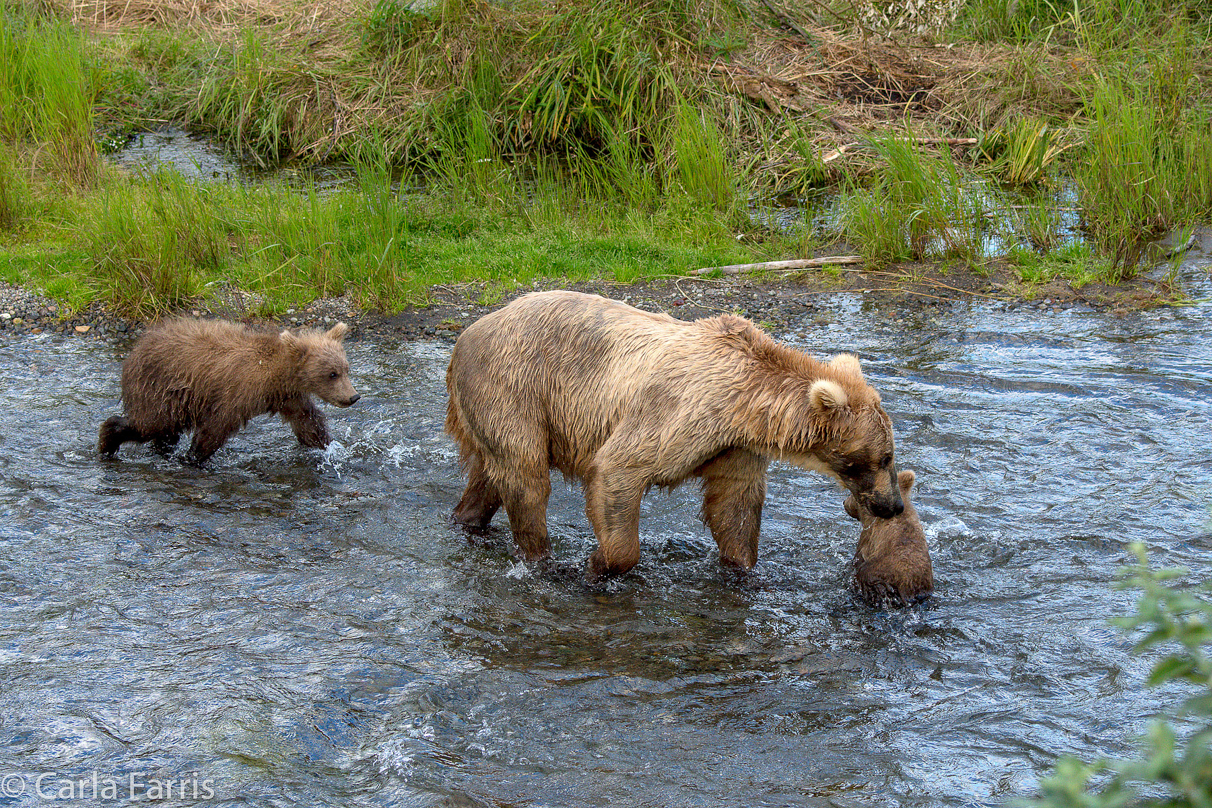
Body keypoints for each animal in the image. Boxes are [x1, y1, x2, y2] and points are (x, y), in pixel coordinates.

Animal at [446, 294, 901, 579]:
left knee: (491, 476)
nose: (892, 506)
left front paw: (741, 567)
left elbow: (734, 505)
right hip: (513, 387)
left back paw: (468, 521)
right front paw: (599, 563)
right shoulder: (679, 413)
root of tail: (466, 335)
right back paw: (542, 561)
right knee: (526, 479)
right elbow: (619, 468)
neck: (747, 408)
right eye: (884, 458)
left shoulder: (735, 446)